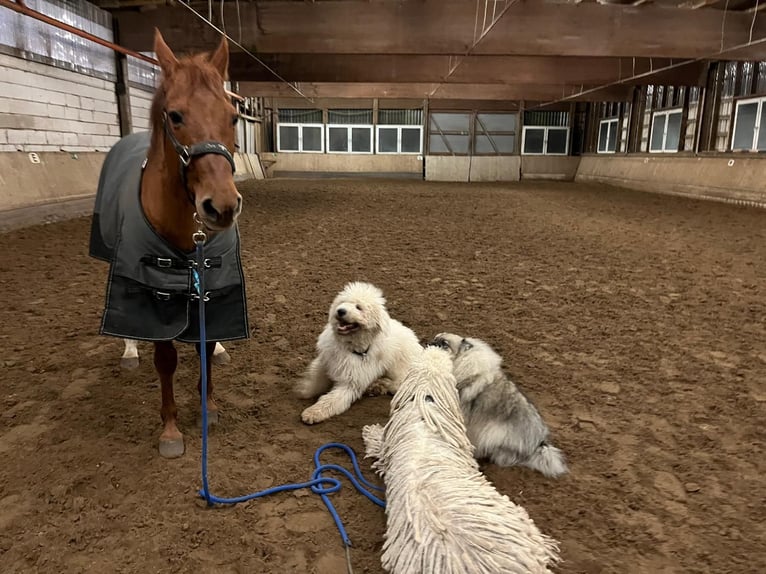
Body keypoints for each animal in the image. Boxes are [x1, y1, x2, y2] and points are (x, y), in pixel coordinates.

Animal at [89, 29, 249, 458]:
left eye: (232, 117)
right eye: (176, 116)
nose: (222, 206)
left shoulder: (214, 285)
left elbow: (206, 346)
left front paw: (208, 407)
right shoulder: (154, 292)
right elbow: (165, 357)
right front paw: (171, 429)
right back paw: (130, 350)